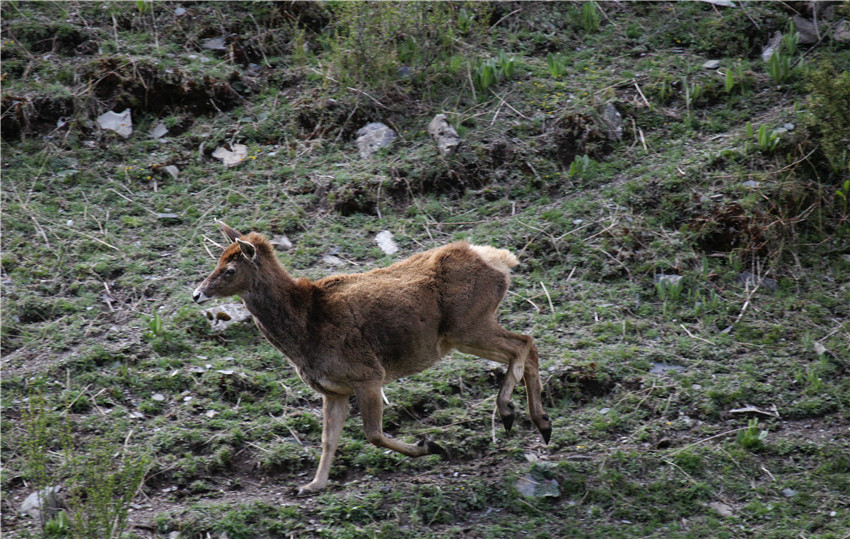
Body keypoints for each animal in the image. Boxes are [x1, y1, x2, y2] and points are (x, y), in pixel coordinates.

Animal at [191, 221, 548, 496]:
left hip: (468, 324)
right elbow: (328, 440)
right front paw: (313, 485)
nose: (197, 294)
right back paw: (542, 424)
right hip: (463, 331)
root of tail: (499, 259)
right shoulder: (333, 390)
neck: (304, 329)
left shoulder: (367, 373)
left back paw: (508, 411)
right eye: (217, 260)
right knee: (529, 346)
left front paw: (428, 446)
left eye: (230, 269)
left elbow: (373, 434)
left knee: (524, 343)